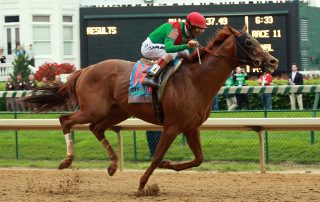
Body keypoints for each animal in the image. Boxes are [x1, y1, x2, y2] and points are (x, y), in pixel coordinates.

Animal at [22, 25, 278, 193]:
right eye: (248, 42)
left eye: (256, 40)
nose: (272, 61)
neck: (196, 80)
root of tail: (86, 69)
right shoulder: (172, 126)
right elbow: (156, 157)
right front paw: (142, 185)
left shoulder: (191, 127)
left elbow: (198, 159)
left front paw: (167, 166)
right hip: (93, 108)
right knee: (66, 120)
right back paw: (66, 161)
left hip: (118, 111)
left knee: (96, 128)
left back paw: (112, 165)